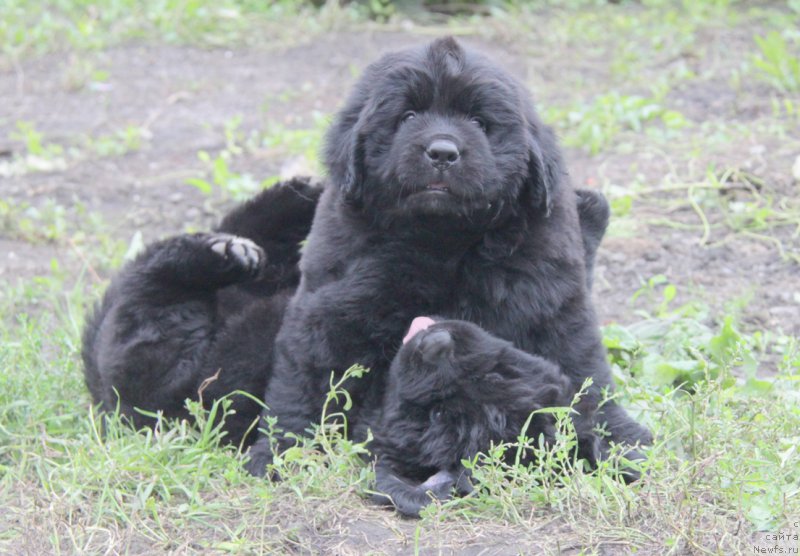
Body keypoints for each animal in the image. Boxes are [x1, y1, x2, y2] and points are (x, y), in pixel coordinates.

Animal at [81, 37, 648, 508]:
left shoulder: (549, 299)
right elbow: (306, 384)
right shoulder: (331, 299)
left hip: (164, 368)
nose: (443, 152)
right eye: (409, 114)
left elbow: (584, 369)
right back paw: (281, 206)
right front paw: (281, 455)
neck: (443, 237)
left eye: (482, 123)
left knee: (143, 303)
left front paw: (615, 444)